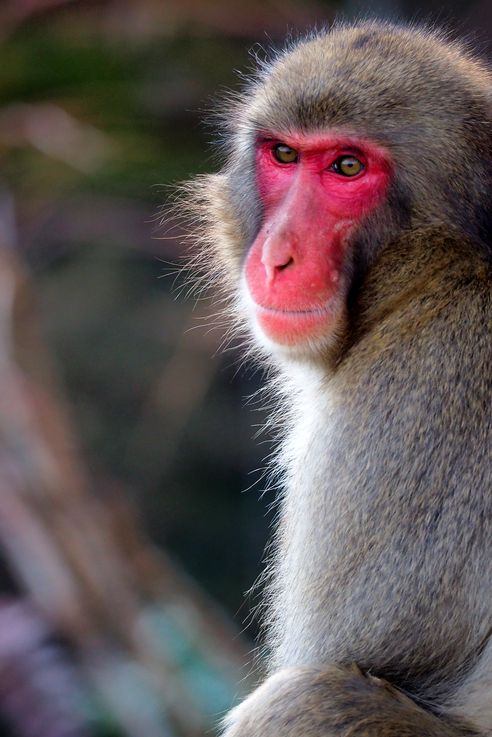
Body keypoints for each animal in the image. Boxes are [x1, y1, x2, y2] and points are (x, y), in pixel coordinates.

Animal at [183, 20, 492, 737]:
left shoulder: (418, 389)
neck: (442, 268)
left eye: (348, 167)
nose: (276, 257)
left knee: (311, 697)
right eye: (284, 155)